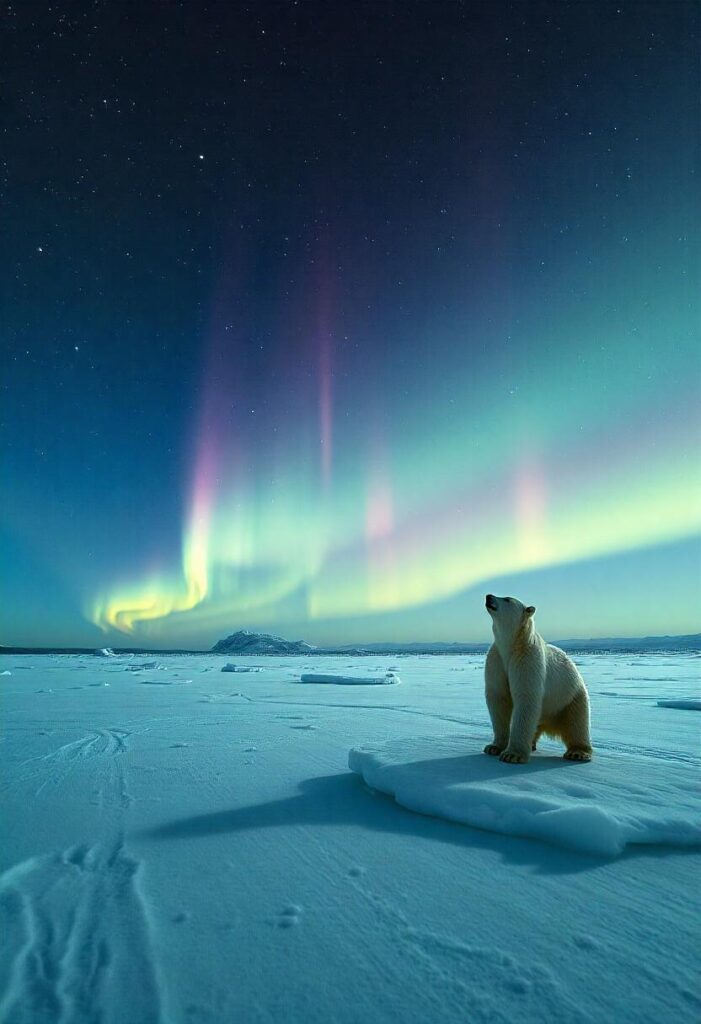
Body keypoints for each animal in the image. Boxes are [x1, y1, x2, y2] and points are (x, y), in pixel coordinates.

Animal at [483, 594, 592, 764]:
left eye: (507, 599)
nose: (488, 596)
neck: (511, 645)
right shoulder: (497, 660)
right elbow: (498, 699)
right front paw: (493, 747)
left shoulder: (527, 659)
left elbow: (526, 698)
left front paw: (512, 755)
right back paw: (532, 744)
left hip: (570, 696)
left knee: (577, 722)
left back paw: (578, 752)